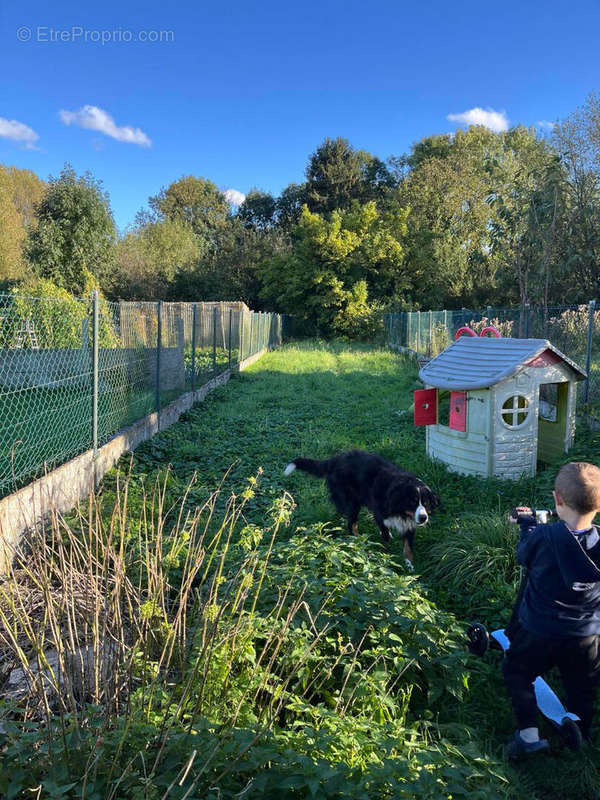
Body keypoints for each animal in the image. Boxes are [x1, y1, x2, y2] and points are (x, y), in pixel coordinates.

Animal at [284, 450, 438, 568]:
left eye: (425, 503)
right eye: (412, 503)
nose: (423, 518)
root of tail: (334, 459)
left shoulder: (409, 523)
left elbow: (408, 548)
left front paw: (409, 565)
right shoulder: (379, 514)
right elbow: (386, 535)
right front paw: (387, 554)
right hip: (352, 501)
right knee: (350, 523)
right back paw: (359, 543)